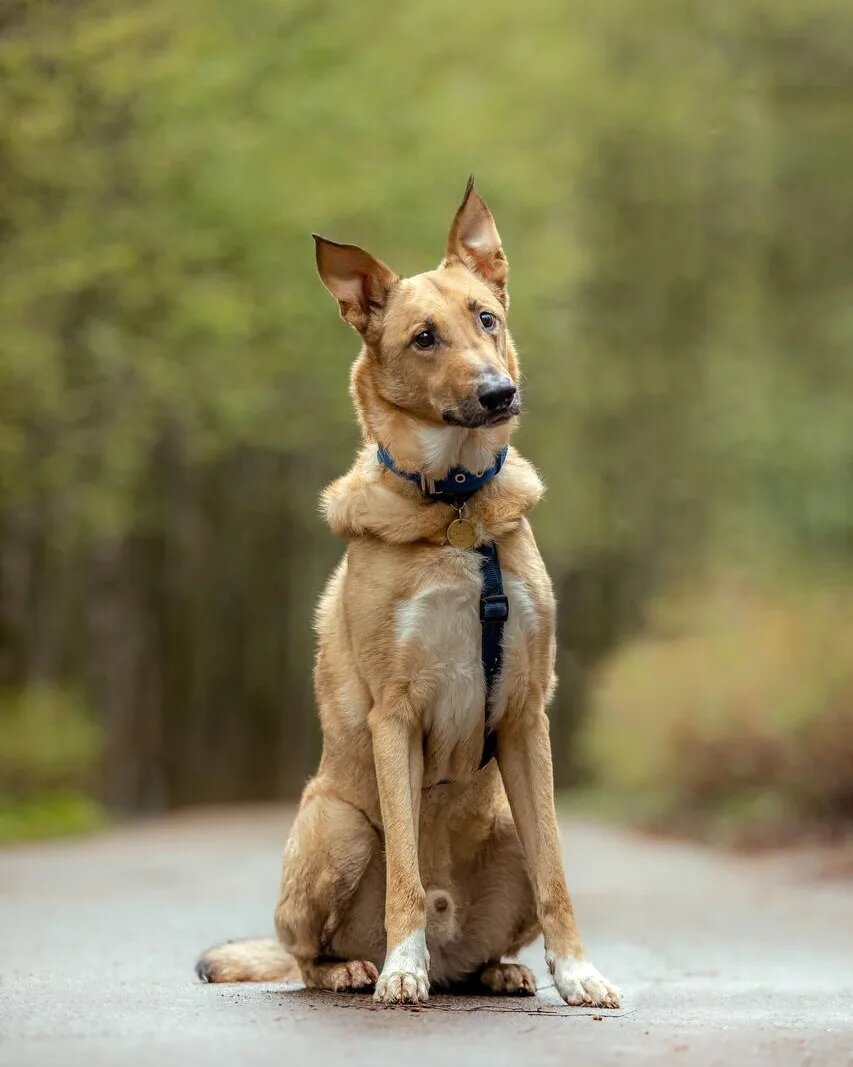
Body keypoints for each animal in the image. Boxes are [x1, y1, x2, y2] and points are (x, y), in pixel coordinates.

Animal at [194, 177, 619, 1007]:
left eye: (485, 318)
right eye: (424, 338)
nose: (499, 392)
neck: (454, 504)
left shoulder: (524, 714)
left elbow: (556, 871)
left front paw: (578, 971)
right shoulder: (395, 714)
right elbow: (405, 878)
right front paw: (399, 967)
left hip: (504, 821)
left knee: (496, 921)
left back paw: (497, 968)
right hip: (335, 823)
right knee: (303, 952)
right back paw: (358, 966)